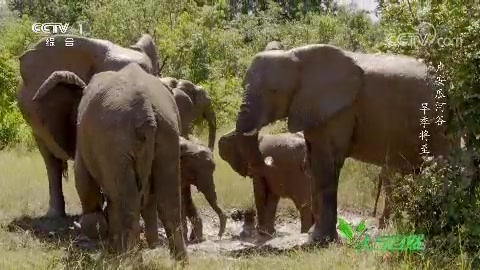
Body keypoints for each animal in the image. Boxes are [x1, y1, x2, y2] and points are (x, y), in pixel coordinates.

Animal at [32, 63, 187, 260]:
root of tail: (147, 114)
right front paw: (113, 249)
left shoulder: (84, 141)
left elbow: (84, 184)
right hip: (168, 132)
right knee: (169, 200)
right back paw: (179, 262)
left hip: (116, 142)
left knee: (129, 203)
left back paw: (128, 260)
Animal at [232, 43, 450, 245]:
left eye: (273, 91)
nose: (268, 161)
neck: (294, 55)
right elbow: (313, 164)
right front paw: (314, 238)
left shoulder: (338, 111)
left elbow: (326, 163)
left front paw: (321, 241)